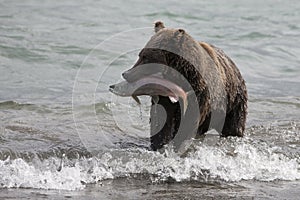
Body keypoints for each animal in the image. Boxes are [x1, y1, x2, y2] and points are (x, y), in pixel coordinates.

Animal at [109, 21, 247, 150]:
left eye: (146, 57)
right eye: (140, 55)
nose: (126, 74)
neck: (179, 76)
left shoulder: (199, 94)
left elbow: (188, 122)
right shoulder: (165, 97)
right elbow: (161, 119)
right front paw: (159, 144)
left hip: (233, 101)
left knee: (233, 125)